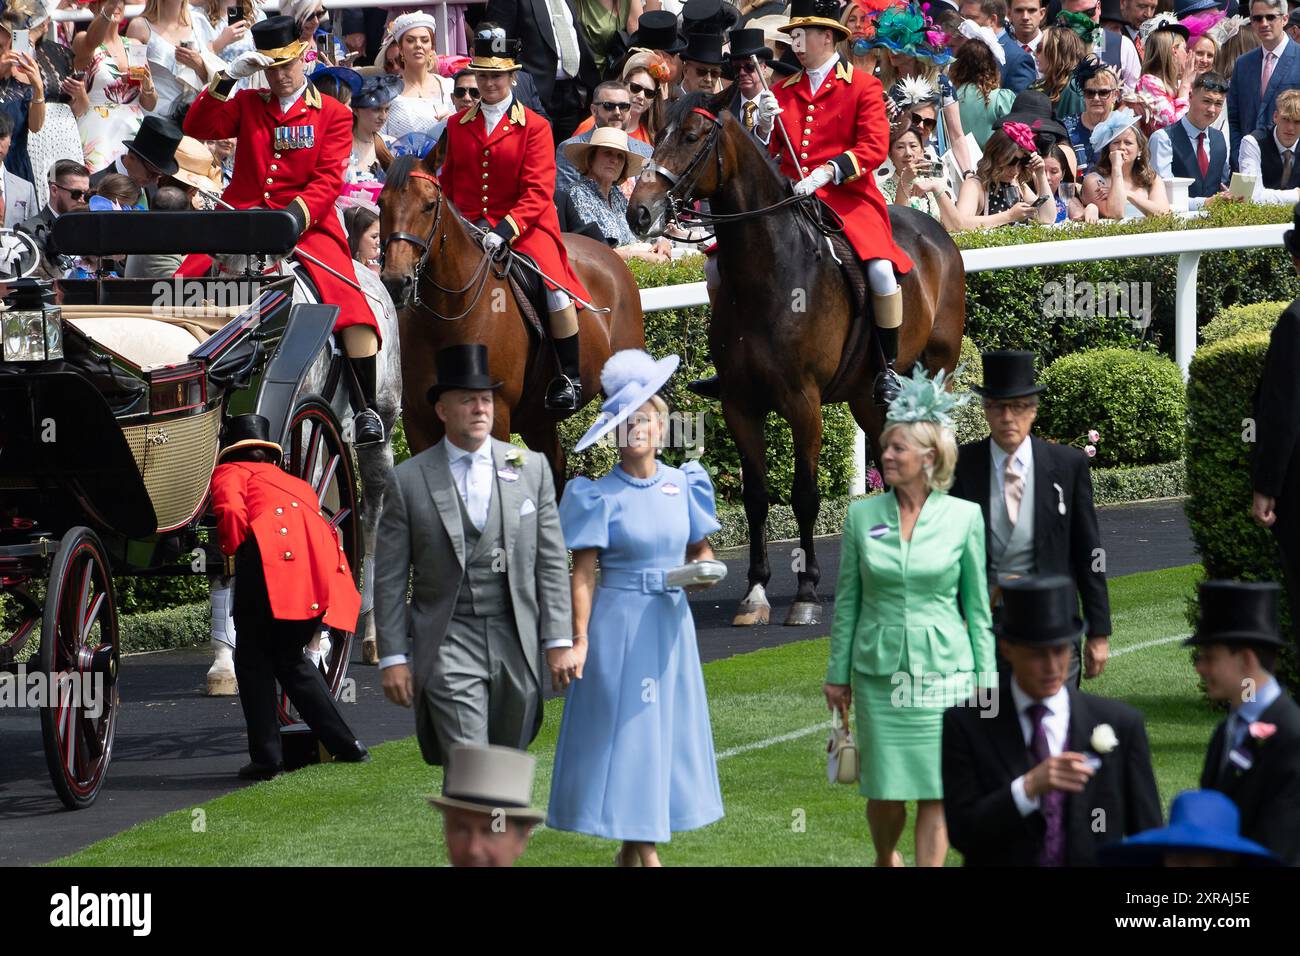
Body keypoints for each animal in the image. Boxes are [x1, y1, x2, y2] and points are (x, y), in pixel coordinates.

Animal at [379, 158, 642, 486]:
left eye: (428, 205)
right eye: (381, 203)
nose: (395, 281)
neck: (445, 319)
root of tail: (608, 251)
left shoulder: (495, 416)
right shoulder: (419, 421)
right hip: (536, 419)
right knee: (555, 462)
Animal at [629, 89, 967, 629]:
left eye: (692, 136)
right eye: (656, 134)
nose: (640, 213)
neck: (767, 270)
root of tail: (935, 229)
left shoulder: (804, 404)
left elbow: (804, 495)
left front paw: (805, 592)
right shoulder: (740, 406)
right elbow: (756, 497)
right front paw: (755, 592)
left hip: (936, 372)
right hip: (866, 399)